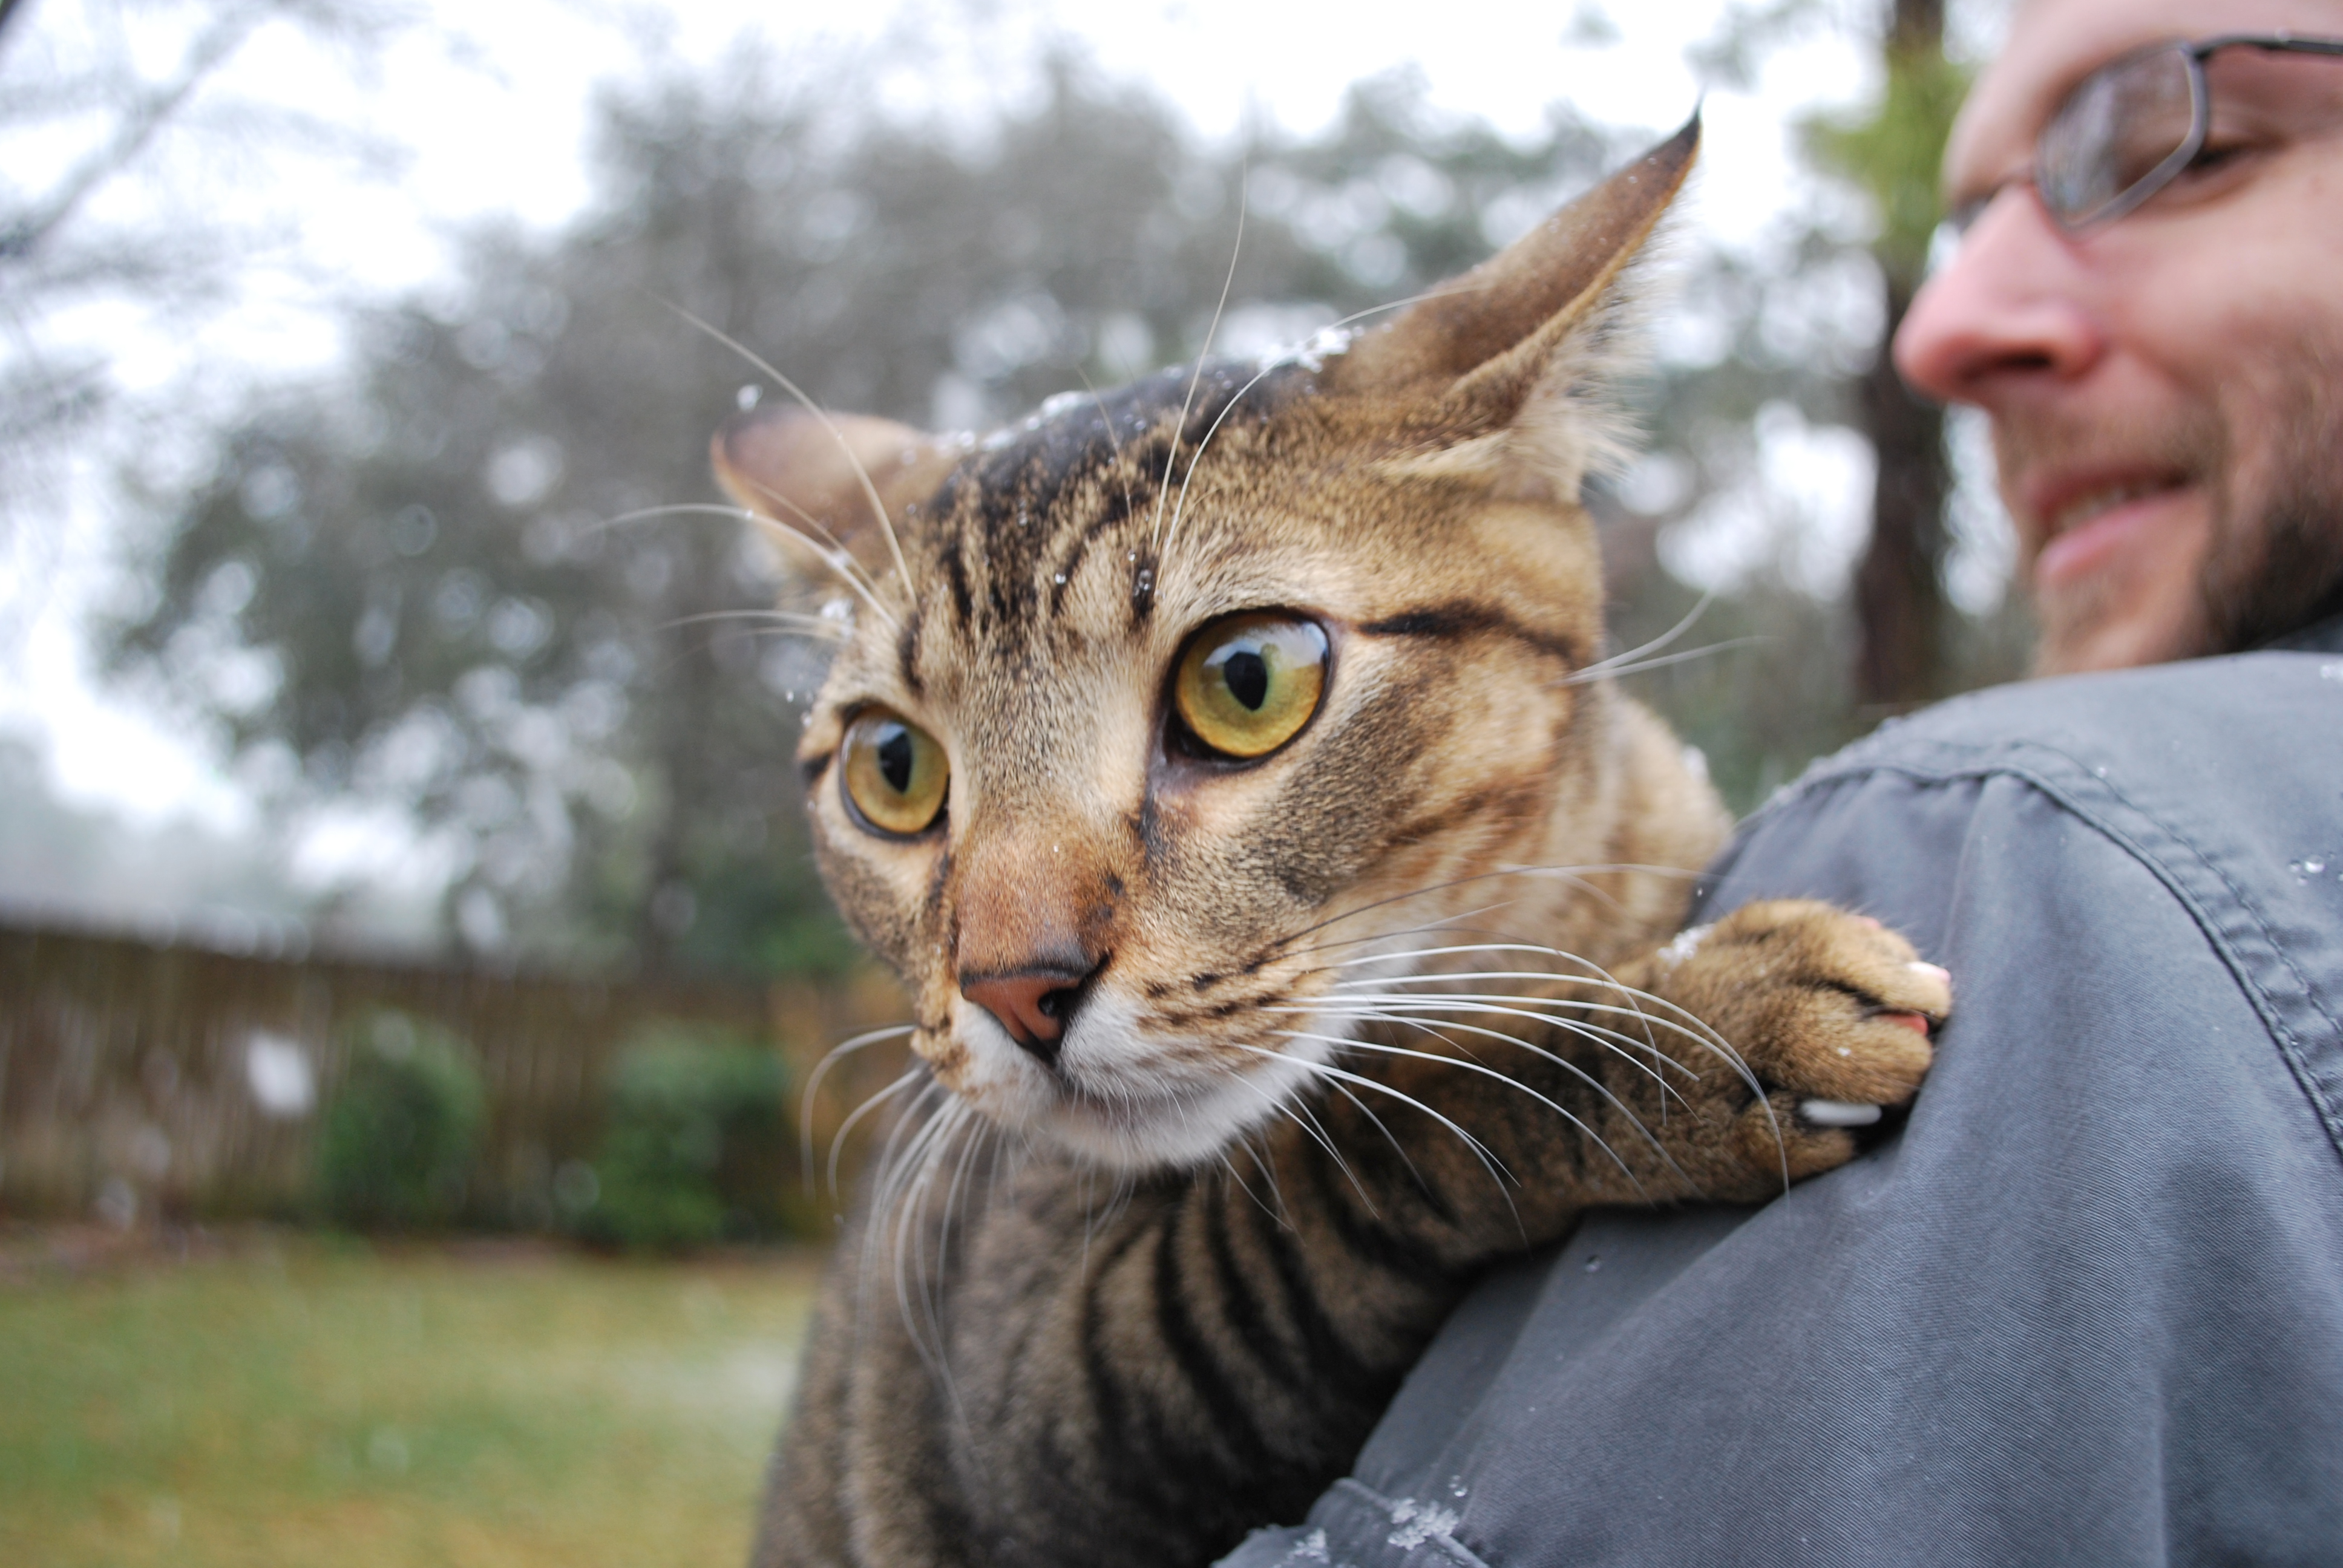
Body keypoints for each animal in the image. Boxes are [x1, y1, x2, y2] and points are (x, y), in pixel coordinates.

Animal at [712, 118, 1948, 1568]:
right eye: (892, 770)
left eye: (1243, 683)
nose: (1016, 987)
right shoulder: (1027, 1396)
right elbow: (1368, 1156)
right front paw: (1697, 1033)